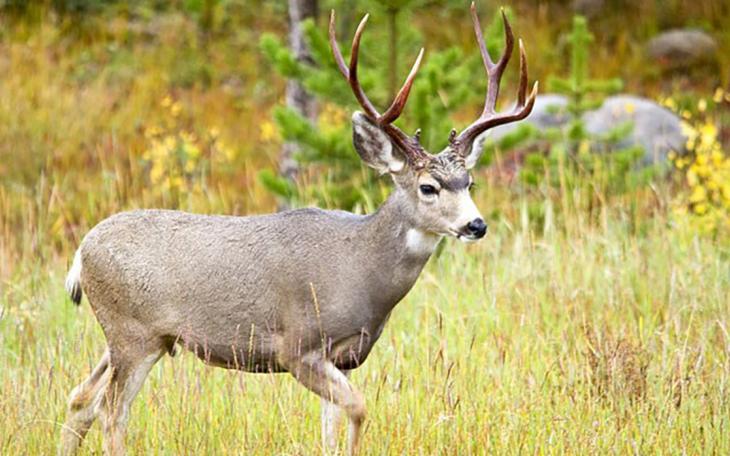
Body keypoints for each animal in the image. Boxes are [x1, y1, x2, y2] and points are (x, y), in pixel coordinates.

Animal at [60, 4, 536, 455]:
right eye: (428, 187)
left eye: (469, 182)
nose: (476, 225)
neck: (362, 269)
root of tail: (81, 252)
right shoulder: (298, 346)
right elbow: (359, 408)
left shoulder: (342, 356)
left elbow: (331, 428)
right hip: (132, 332)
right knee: (112, 413)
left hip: (130, 338)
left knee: (79, 400)